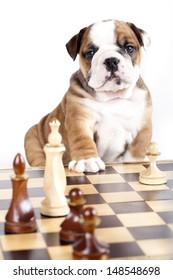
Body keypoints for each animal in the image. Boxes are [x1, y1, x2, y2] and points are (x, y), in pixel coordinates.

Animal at [24, 19, 151, 173]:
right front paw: (87, 160)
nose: (111, 60)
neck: (112, 97)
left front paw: (136, 163)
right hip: (31, 138)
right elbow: (82, 139)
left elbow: (138, 149)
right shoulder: (79, 118)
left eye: (129, 48)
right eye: (90, 53)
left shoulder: (143, 126)